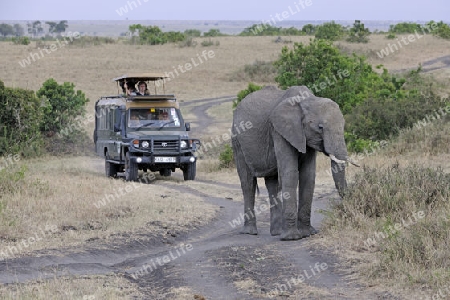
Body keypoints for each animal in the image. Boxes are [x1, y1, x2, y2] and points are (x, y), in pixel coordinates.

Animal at [232, 85, 356, 240]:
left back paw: (277, 232)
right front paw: (291, 238)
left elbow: (308, 175)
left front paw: (307, 233)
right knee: (248, 183)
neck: (307, 100)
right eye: (320, 127)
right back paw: (250, 232)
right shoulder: (280, 131)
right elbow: (290, 173)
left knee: (272, 183)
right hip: (237, 141)